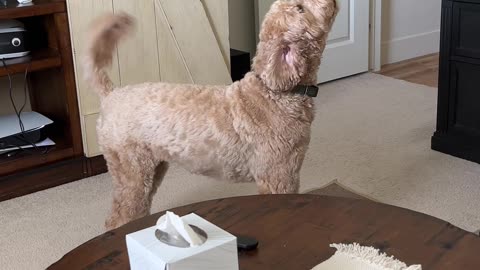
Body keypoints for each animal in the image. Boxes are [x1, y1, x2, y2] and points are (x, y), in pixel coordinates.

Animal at [85, 0, 338, 230]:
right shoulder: (278, 175)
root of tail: (111, 93)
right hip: (130, 169)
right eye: (300, 8)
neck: (276, 92)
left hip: (152, 167)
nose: (331, 0)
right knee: (119, 217)